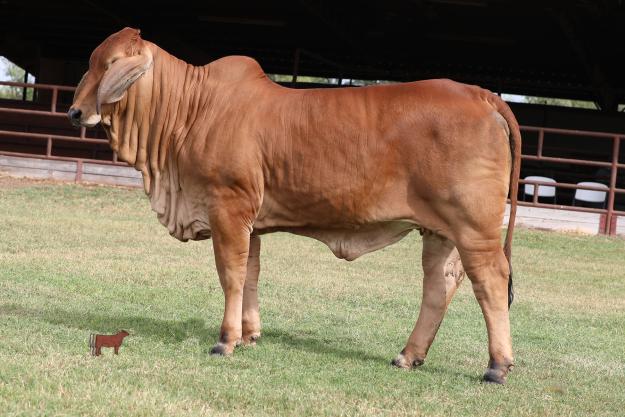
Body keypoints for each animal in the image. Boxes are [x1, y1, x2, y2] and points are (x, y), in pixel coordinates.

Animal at [68, 27, 520, 382]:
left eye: (107, 64)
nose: (74, 111)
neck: (190, 109)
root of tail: (480, 94)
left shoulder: (227, 207)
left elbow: (230, 275)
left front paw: (225, 341)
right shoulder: (250, 221)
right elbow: (251, 274)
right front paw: (249, 335)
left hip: (473, 226)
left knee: (491, 280)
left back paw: (497, 366)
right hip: (438, 231)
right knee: (439, 284)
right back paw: (409, 355)